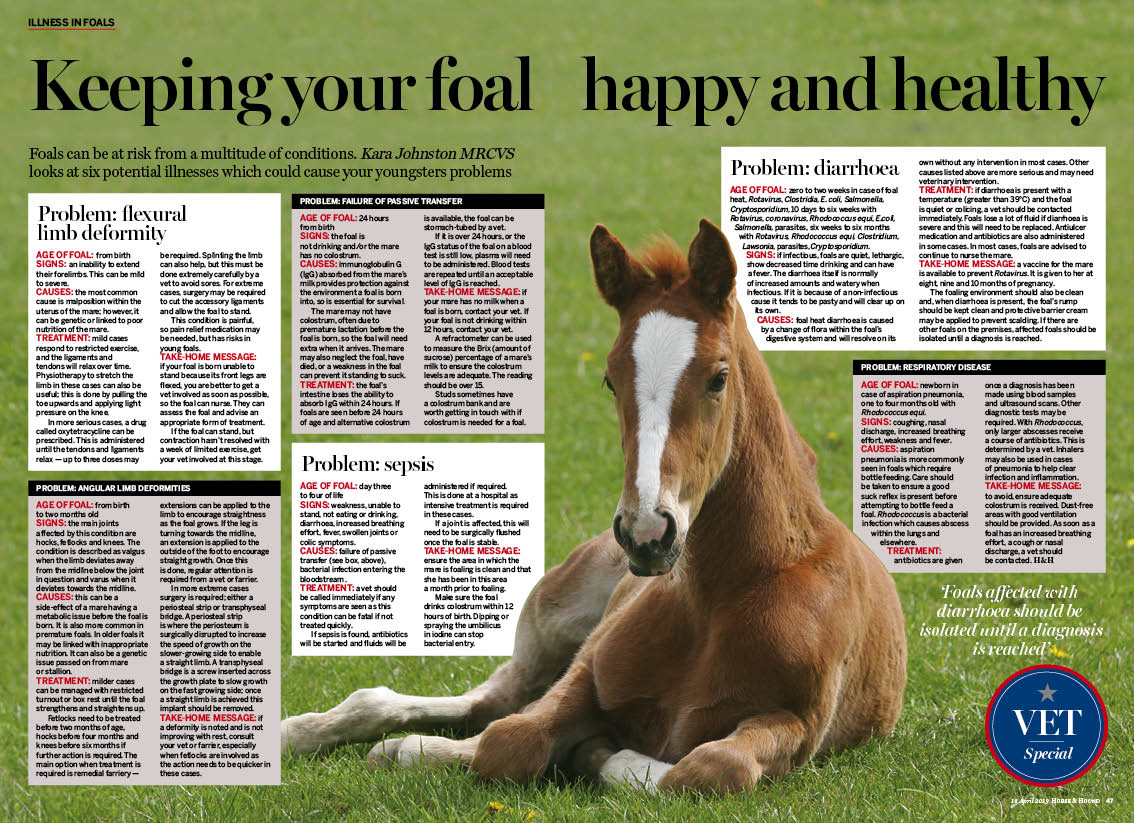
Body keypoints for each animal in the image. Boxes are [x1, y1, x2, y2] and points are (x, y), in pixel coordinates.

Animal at [280, 219, 907, 793]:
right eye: (609, 379)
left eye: (719, 378)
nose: (648, 532)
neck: (728, 590)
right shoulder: (587, 670)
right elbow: (510, 740)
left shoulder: (797, 724)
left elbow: (705, 768)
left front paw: (599, 754)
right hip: (551, 620)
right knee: (486, 701)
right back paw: (309, 734)